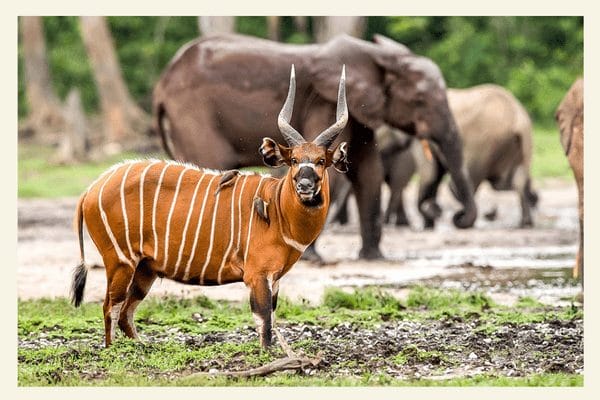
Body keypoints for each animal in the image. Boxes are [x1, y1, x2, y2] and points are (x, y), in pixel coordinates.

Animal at [71, 65, 350, 346]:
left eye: (321, 161)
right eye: (293, 160)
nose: (304, 185)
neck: (278, 210)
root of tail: (90, 190)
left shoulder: (275, 278)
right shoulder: (257, 275)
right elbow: (265, 326)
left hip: (144, 269)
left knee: (125, 313)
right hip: (120, 261)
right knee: (110, 307)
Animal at [154, 33, 478, 260]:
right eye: (420, 100)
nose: (457, 218)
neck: (378, 55)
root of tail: (162, 84)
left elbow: (368, 172)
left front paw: (373, 257)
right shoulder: (323, 101)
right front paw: (310, 256)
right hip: (194, 114)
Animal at [332, 83, 540, 230]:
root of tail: (518, 116)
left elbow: (430, 175)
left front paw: (429, 219)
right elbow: (432, 176)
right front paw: (429, 221)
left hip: (484, 142)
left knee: (478, 179)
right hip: (521, 142)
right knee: (514, 180)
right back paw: (525, 223)